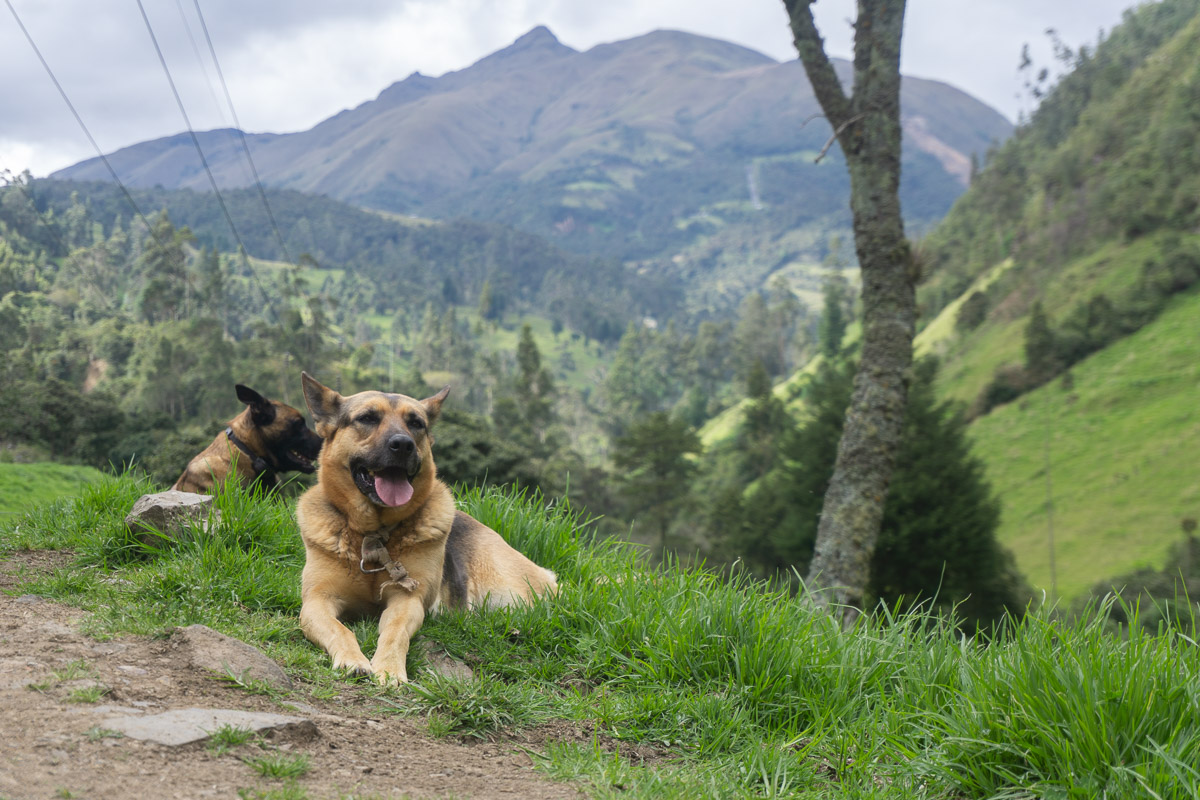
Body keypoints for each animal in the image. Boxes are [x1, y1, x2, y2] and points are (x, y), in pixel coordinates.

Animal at [295, 371, 556, 686]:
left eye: (416, 423)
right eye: (367, 418)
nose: (403, 444)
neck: (374, 534)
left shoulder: (408, 599)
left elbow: (394, 632)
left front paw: (389, 668)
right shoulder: (316, 601)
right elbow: (340, 629)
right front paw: (353, 659)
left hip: (508, 595)